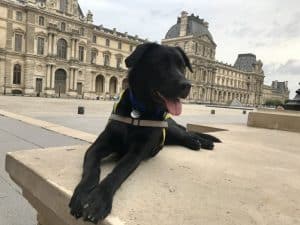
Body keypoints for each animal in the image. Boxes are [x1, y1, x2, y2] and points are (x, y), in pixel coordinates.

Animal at [69, 42, 220, 223]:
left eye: (182, 66)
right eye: (161, 64)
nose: (187, 85)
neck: (139, 110)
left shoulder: (136, 153)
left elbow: (117, 172)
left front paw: (98, 200)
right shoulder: (97, 146)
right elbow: (91, 169)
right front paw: (82, 194)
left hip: (171, 130)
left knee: (188, 133)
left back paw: (203, 142)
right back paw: (198, 143)